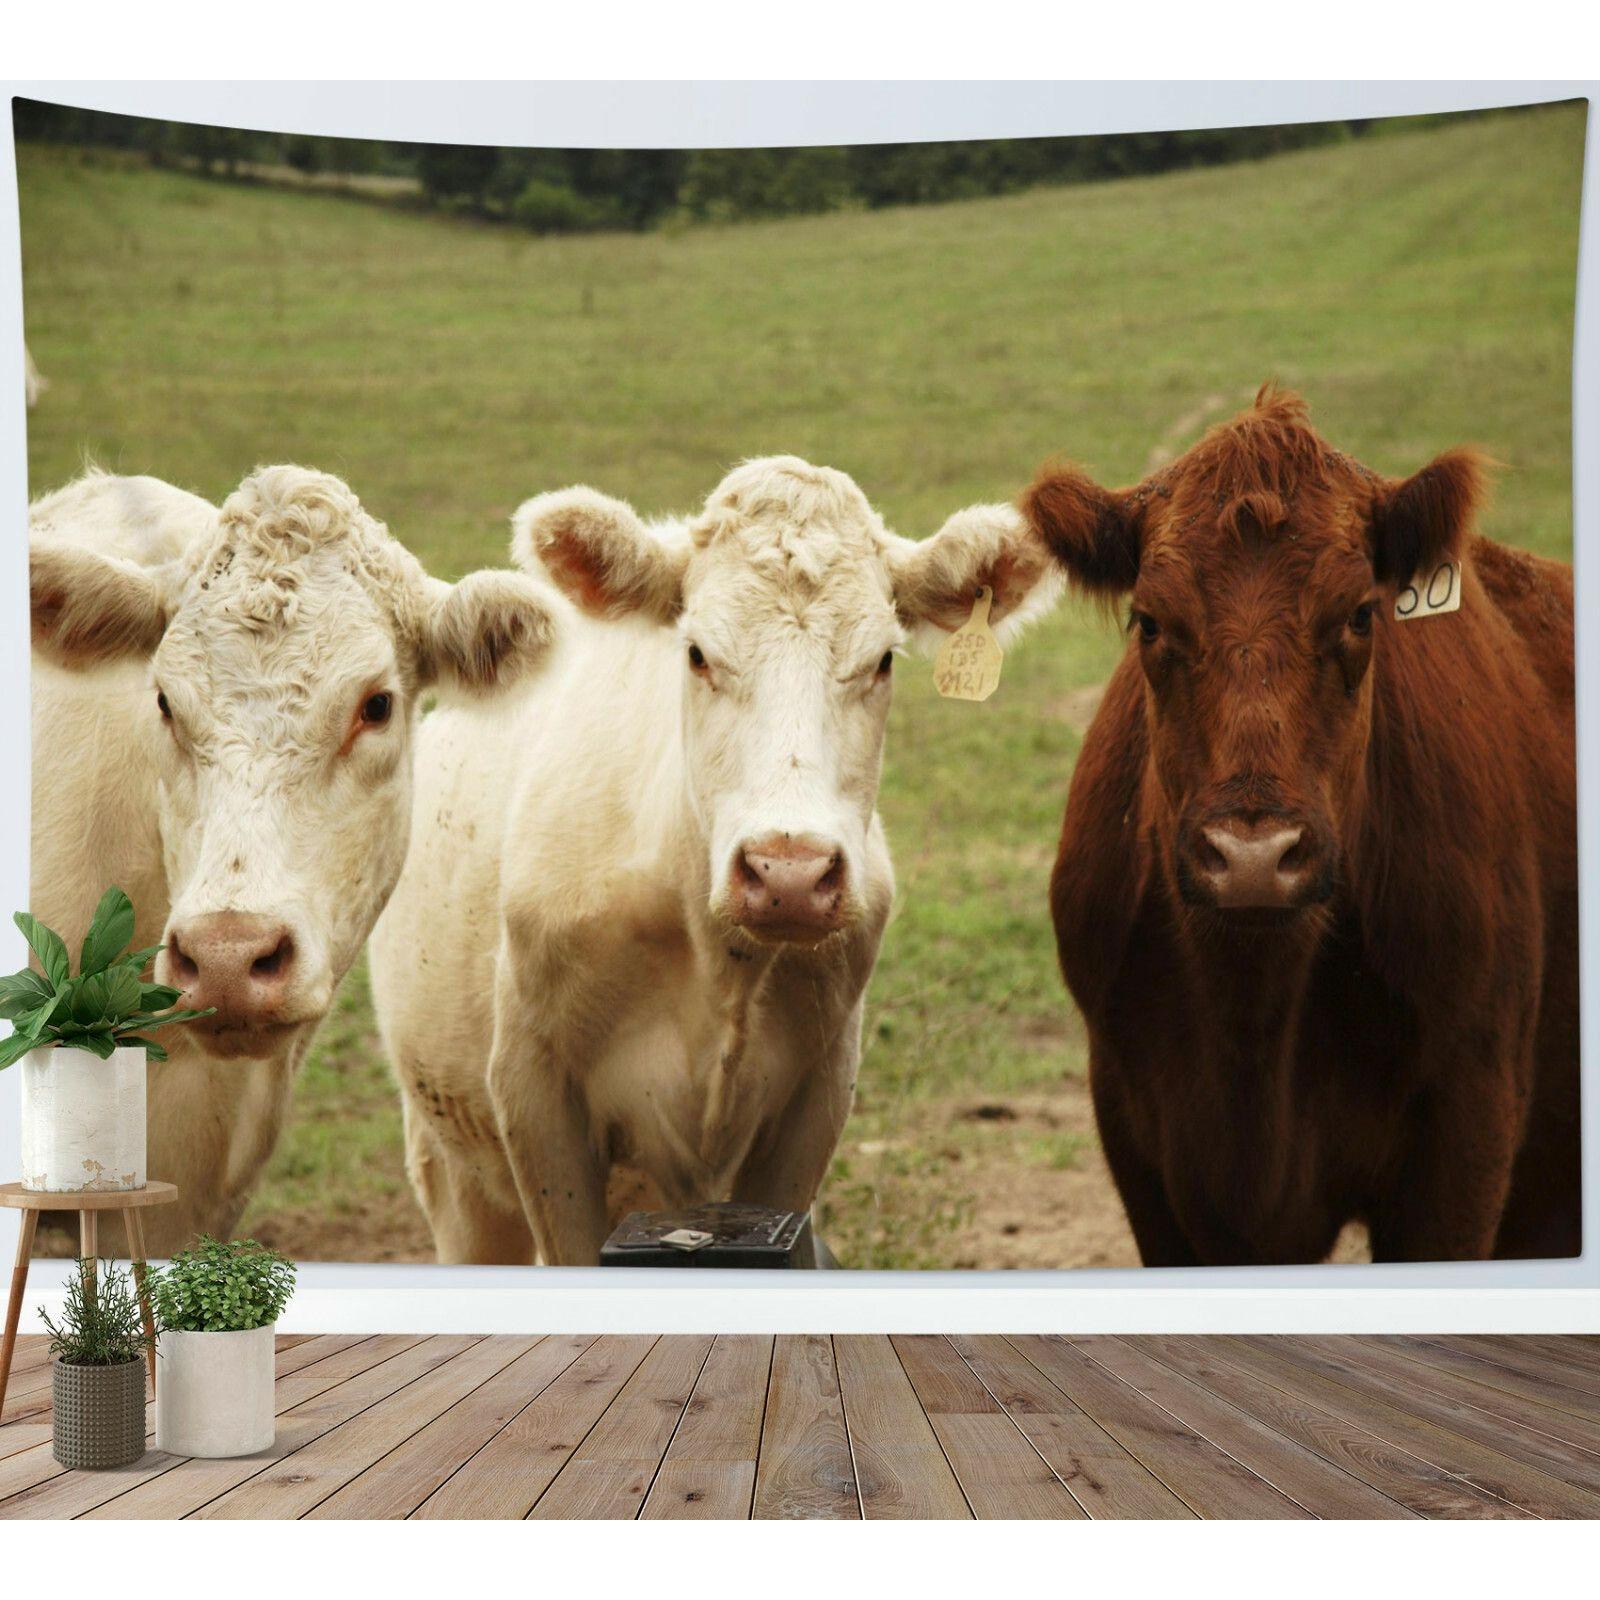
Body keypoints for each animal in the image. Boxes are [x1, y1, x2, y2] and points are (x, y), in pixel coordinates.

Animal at [369, 456, 1060, 1264]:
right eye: (698, 653)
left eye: (883, 660)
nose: (789, 874)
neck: (714, 961)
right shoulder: (535, 1098)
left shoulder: (816, 1095)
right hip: (452, 1165)